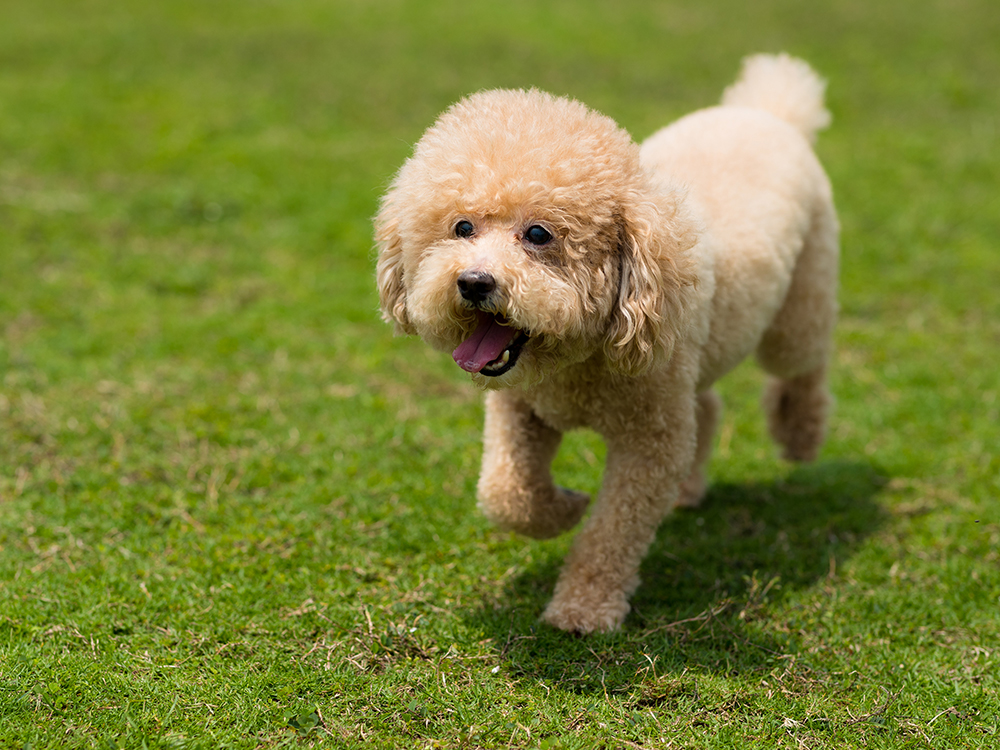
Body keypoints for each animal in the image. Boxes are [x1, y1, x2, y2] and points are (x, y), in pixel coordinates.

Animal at [374, 54, 836, 636]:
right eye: (462, 227)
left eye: (539, 234)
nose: (474, 282)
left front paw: (583, 610)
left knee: (803, 365)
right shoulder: (521, 408)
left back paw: (800, 435)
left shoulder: (649, 440)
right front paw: (566, 507)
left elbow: (612, 532)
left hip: (800, 302)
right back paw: (689, 488)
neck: (575, 362)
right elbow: (505, 494)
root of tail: (767, 110)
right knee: (706, 405)